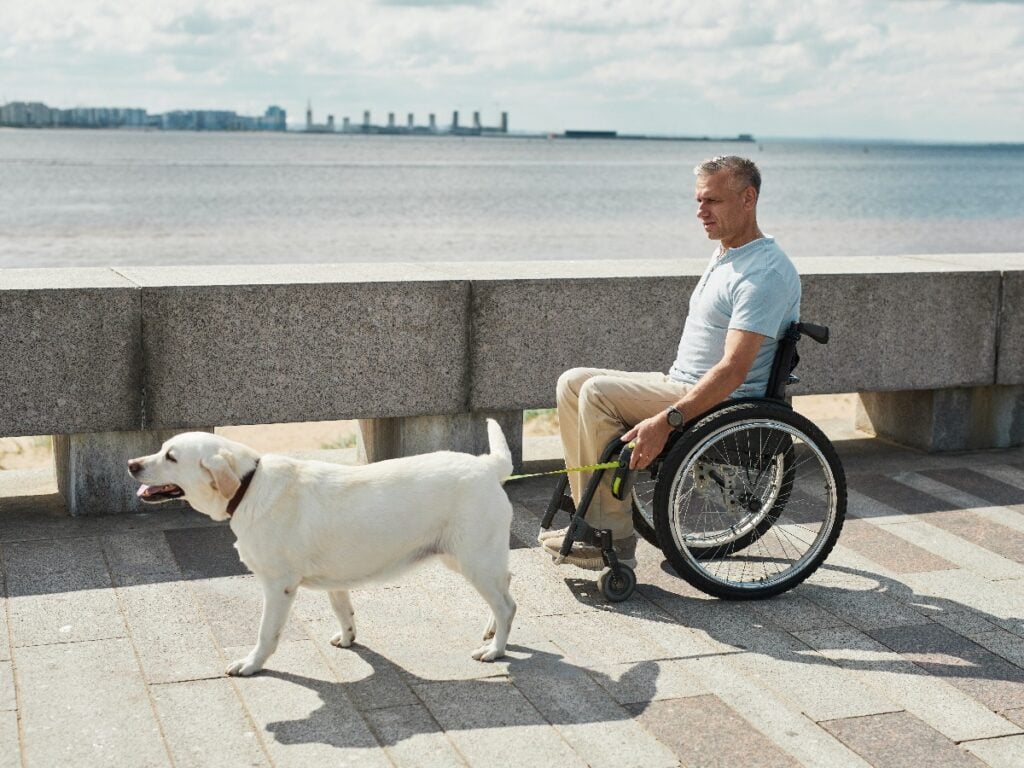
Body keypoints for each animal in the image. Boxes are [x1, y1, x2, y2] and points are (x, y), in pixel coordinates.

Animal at [128, 421, 516, 679]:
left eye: (170, 457)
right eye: (162, 448)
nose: (132, 464)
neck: (249, 486)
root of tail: (486, 463)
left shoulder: (278, 586)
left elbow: (266, 633)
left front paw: (251, 664)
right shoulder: (335, 581)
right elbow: (343, 611)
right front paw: (348, 639)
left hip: (474, 559)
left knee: (507, 605)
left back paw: (495, 650)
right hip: (468, 559)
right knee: (505, 587)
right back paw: (491, 631)